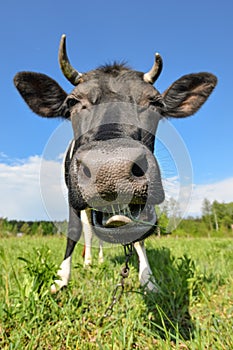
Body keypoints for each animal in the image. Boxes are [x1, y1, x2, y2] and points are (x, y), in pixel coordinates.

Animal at [13, 34, 218, 292]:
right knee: (88, 230)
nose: (111, 169)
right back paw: (89, 262)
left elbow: (139, 235)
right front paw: (61, 278)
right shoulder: (72, 195)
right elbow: (74, 230)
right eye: (72, 102)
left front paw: (148, 280)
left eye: (155, 103)